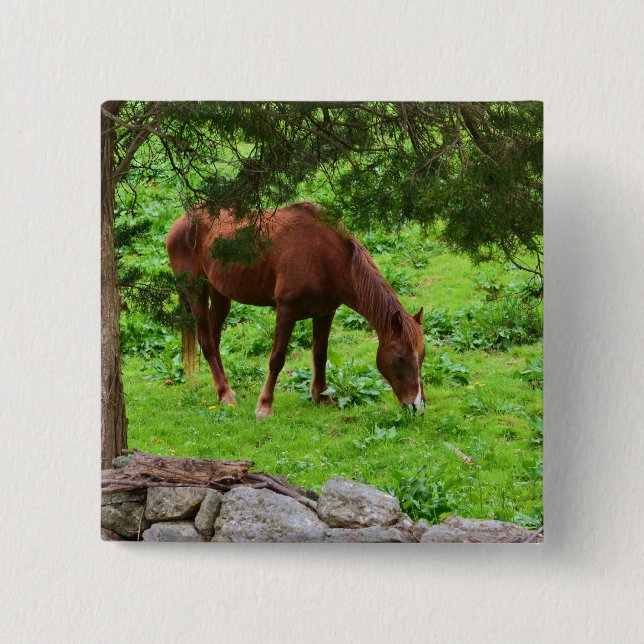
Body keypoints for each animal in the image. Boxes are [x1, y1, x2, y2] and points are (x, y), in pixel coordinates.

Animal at [166, 201, 426, 419]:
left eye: (422, 356)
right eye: (400, 357)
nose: (417, 406)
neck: (325, 257)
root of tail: (181, 221)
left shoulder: (325, 312)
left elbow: (320, 354)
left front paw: (321, 396)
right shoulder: (286, 311)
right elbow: (277, 359)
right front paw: (265, 406)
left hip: (220, 294)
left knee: (214, 339)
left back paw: (224, 389)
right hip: (196, 291)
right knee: (207, 342)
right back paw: (224, 394)